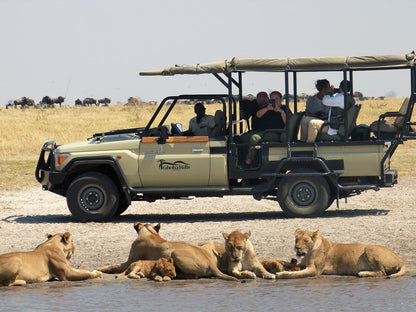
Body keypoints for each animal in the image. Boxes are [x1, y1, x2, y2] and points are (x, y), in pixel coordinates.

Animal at [97, 223, 239, 282]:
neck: (149, 232)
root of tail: (211, 264)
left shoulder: (130, 260)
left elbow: (114, 265)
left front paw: (100, 268)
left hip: (175, 253)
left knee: (194, 276)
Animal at [276, 228, 406, 280]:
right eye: (296, 240)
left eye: (306, 241)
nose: (297, 248)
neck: (307, 253)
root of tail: (401, 259)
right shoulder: (303, 264)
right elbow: (288, 264)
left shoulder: (315, 270)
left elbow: (295, 275)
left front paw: (281, 274)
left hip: (369, 249)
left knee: (382, 272)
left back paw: (361, 273)